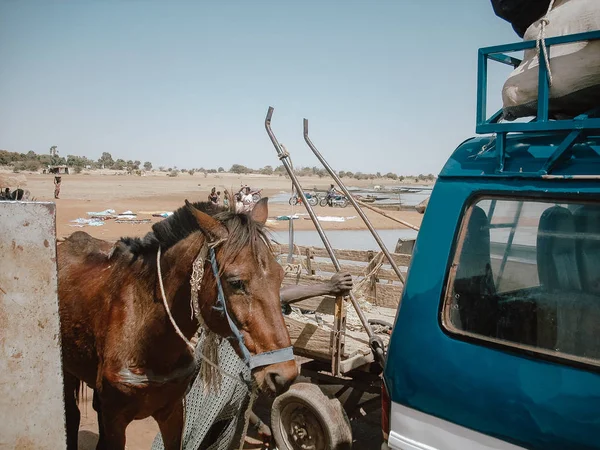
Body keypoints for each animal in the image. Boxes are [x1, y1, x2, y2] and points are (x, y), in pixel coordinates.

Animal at [58, 199, 298, 448]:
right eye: (236, 283)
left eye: (281, 275)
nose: (284, 374)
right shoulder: (116, 420)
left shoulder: (173, 413)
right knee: (72, 416)